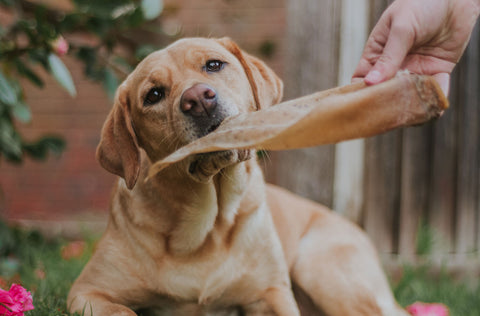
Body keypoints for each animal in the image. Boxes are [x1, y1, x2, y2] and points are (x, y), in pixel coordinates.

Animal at [68, 37, 408, 316]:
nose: (199, 99)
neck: (206, 229)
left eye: (214, 65)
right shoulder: (86, 292)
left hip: (320, 267)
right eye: (153, 95)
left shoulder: (271, 294)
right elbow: (124, 311)